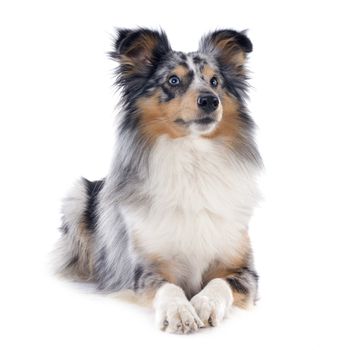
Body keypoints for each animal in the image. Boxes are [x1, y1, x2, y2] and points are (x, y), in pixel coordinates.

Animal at [54, 27, 262, 334]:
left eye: (215, 81)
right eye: (173, 80)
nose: (210, 100)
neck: (192, 159)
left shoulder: (244, 270)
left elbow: (218, 283)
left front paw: (204, 304)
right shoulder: (145, 269)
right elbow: (168, 288)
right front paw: (181, 312)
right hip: (77, 195)